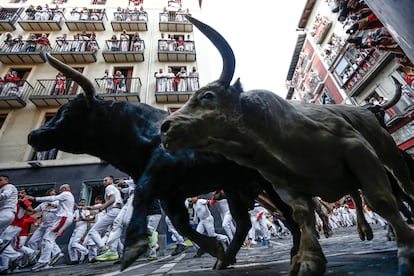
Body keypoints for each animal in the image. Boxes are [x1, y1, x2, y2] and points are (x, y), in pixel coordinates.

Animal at [28, 52, 300, 270]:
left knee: (287, 211)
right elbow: (182, 224)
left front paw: (133, 248)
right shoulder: (170, 194)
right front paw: (216, 249)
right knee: (243, 222)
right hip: (233, 185)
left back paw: (296, 250)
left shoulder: (162, 174)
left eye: (69, 111)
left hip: (267, 181)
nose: (33, 135)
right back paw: (224, 260)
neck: (138, 133)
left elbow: (144, 194)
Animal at [160, 16, 414, 274]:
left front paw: (406, 251)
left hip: (389, 154)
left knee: (402, 186)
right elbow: (302, 216)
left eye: (208, 95)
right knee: (355, 196)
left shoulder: (358, 151)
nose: (165, 127)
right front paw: (308, 260)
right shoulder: (286, 186)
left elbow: (382, 200)